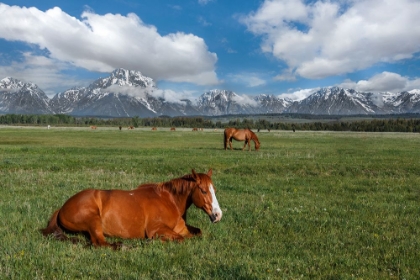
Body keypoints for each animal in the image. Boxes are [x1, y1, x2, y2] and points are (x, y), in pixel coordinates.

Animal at [40, 170, 221, 248]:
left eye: (214, 189)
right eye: (203, 190)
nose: (218, 215)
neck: (170, 201)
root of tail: (62, 207)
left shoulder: (182, 229)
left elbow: (198, 233)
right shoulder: (156, 229)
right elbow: (180, 239)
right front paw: (152, 241)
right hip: (93, 220)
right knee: (99, 243)